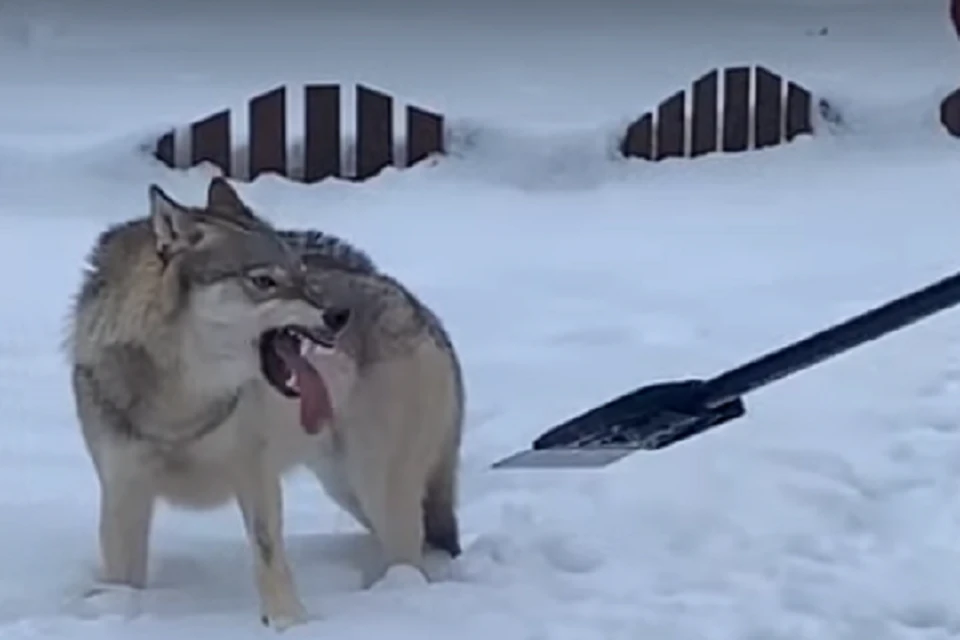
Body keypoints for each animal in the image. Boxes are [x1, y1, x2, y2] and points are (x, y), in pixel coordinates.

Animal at [66, 178, 352, 628]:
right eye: (264, 281)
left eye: (302, 275)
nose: (340, 315)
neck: (180, 401)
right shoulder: (124, 487)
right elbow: (121, 578)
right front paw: (114, 612)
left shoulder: (255, 473)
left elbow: (269, 554)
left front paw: (288, 622)